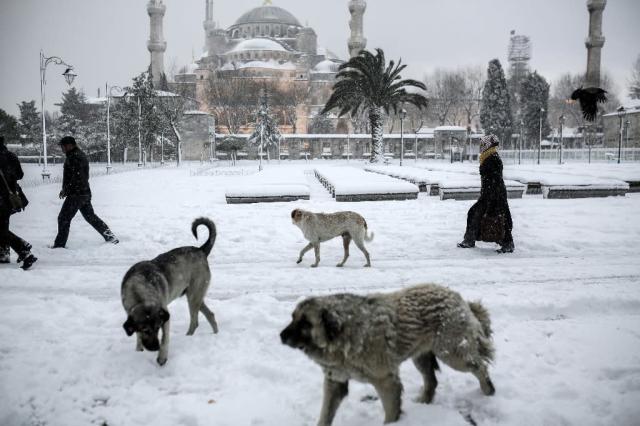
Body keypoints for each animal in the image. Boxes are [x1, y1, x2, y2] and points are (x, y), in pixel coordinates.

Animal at [121, 218, 219, 364]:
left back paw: (188, 337)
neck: (139, 293)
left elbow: (164, 340)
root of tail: (200, 250)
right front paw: (138, 350)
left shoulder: (165, 317)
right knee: (210, 315)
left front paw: (162, 358)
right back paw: (215, 334)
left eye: (157, 328)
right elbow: (137, 336)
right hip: (195, 296)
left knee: (195, 322)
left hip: (193, 295)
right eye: (144, 329)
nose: (154, 348)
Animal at [280, 282, 496, 426]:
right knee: (432, 381)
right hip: (421, 356)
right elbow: (325, 416)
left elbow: (391, 414)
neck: (344, 334)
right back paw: (424, 402)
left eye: (305, 323)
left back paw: (488, 391)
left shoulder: (386, 381)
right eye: (293, 318)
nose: (281, 336)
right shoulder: (335, 382)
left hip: (452, 354)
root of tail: (459, 298)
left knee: (480, 366)